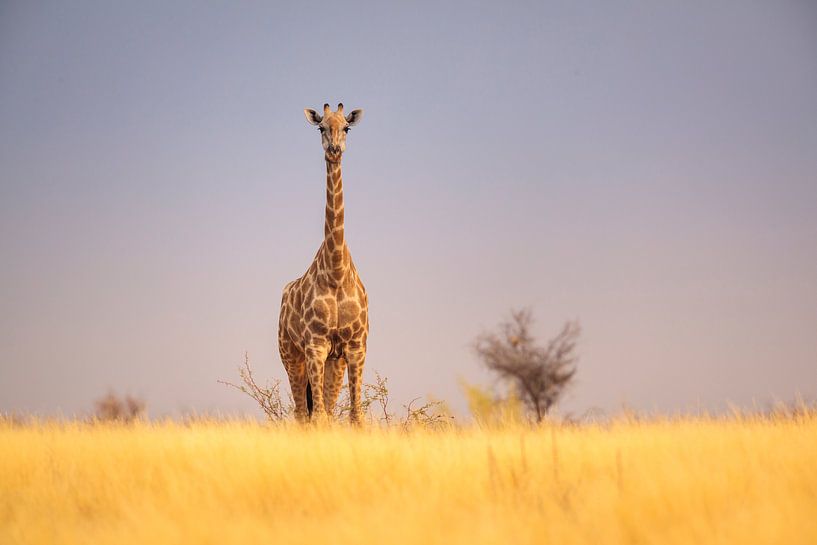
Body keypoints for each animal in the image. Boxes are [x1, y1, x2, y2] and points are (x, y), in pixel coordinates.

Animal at [278, 103, 369, 424]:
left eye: (347, 127)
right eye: (321, 127)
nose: (334, 150)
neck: (337, 271)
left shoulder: (355, 347)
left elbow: (355, 416)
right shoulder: (315, 345)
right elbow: (316, 416)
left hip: (333, 361)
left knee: (324, 410)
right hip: (291, 354)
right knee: (302, 414)